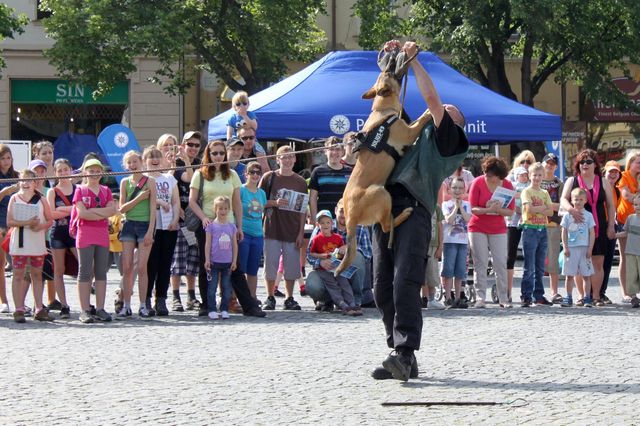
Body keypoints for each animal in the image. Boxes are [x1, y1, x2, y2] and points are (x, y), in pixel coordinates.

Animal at [336, 66, 436, 274]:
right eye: (391, 74)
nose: (391, 65)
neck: (382, 110)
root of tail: (349, 219)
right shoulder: (408, 133)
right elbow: (420, 121)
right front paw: (429, 112)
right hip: (381, 193)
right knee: (386, 227)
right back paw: (403, 215)